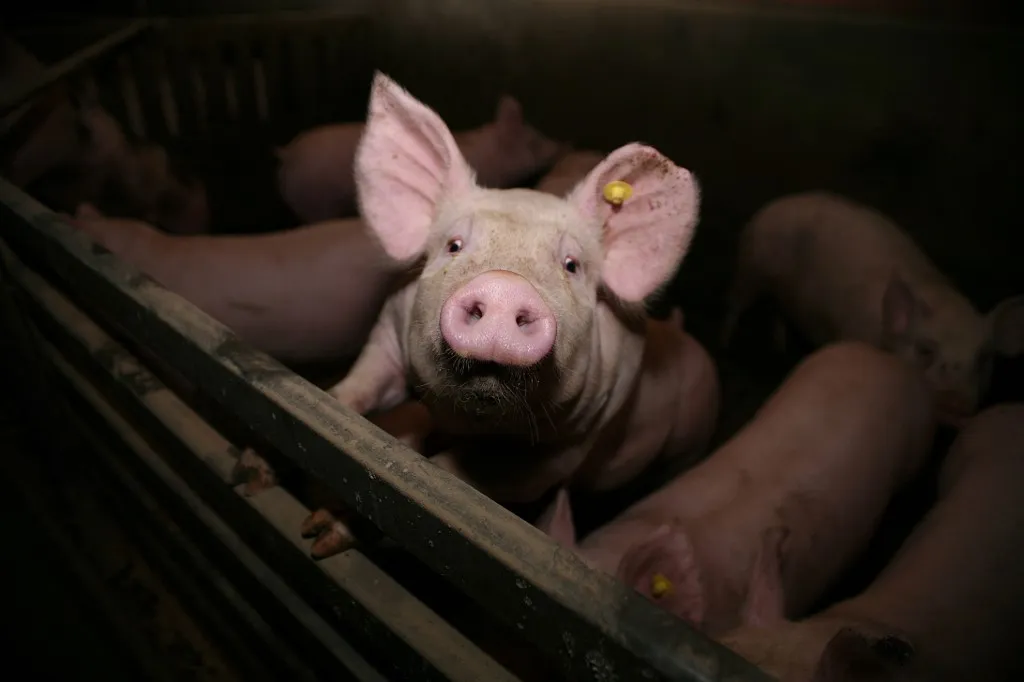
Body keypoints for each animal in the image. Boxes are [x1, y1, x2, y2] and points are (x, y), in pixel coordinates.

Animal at [721, 191, 1024, 425]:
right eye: (925, 349)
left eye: (984, 358)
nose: (956, 400)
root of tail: (769, 206)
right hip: (749, 269)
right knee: (736, 304)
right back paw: (727, 345)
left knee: (777, 311)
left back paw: (779, 348)